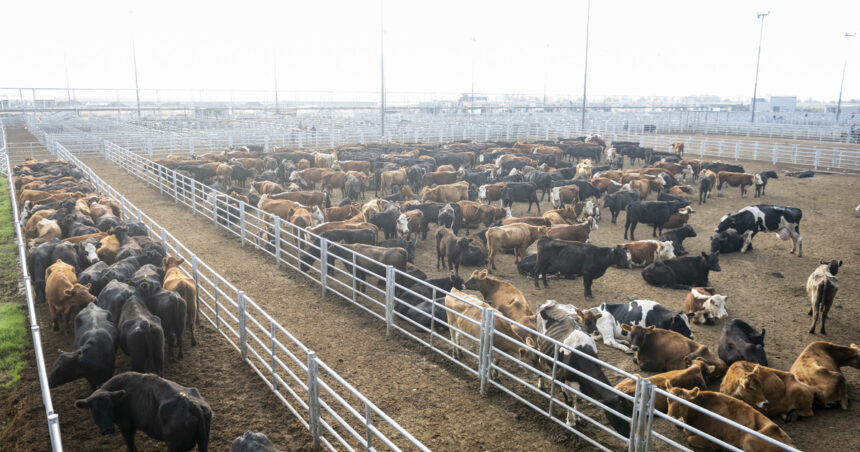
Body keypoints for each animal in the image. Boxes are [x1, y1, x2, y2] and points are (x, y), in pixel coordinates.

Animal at [76, 370, 212, 452]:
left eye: (110, 407)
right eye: (95, 410)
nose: (107, 430)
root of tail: (190, 403)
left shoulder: (126, 426)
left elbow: (130, 443)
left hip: (175, 446)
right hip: (203, 442)